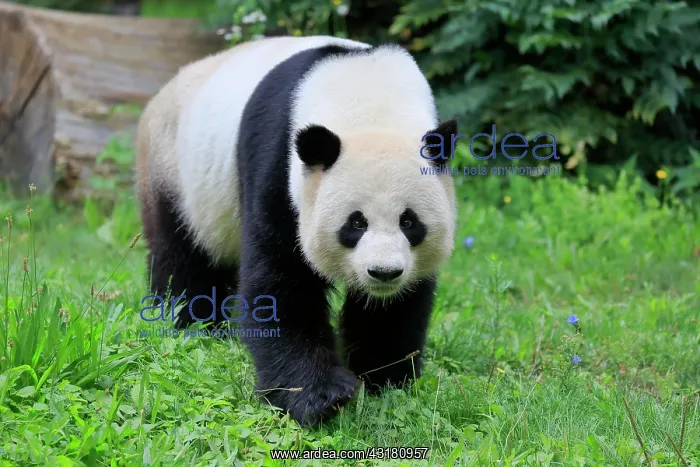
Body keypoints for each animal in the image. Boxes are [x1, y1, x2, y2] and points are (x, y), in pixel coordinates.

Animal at [135, 35, 458, 426]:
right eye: (356, 222)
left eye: (409, 222)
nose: (383, 273)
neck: (368, 98)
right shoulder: (277, 165)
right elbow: (280, 285)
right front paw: (319, 397)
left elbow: (397, 307)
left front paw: (385, 380)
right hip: (176, 174)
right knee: (182, 257)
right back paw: (191, 324)